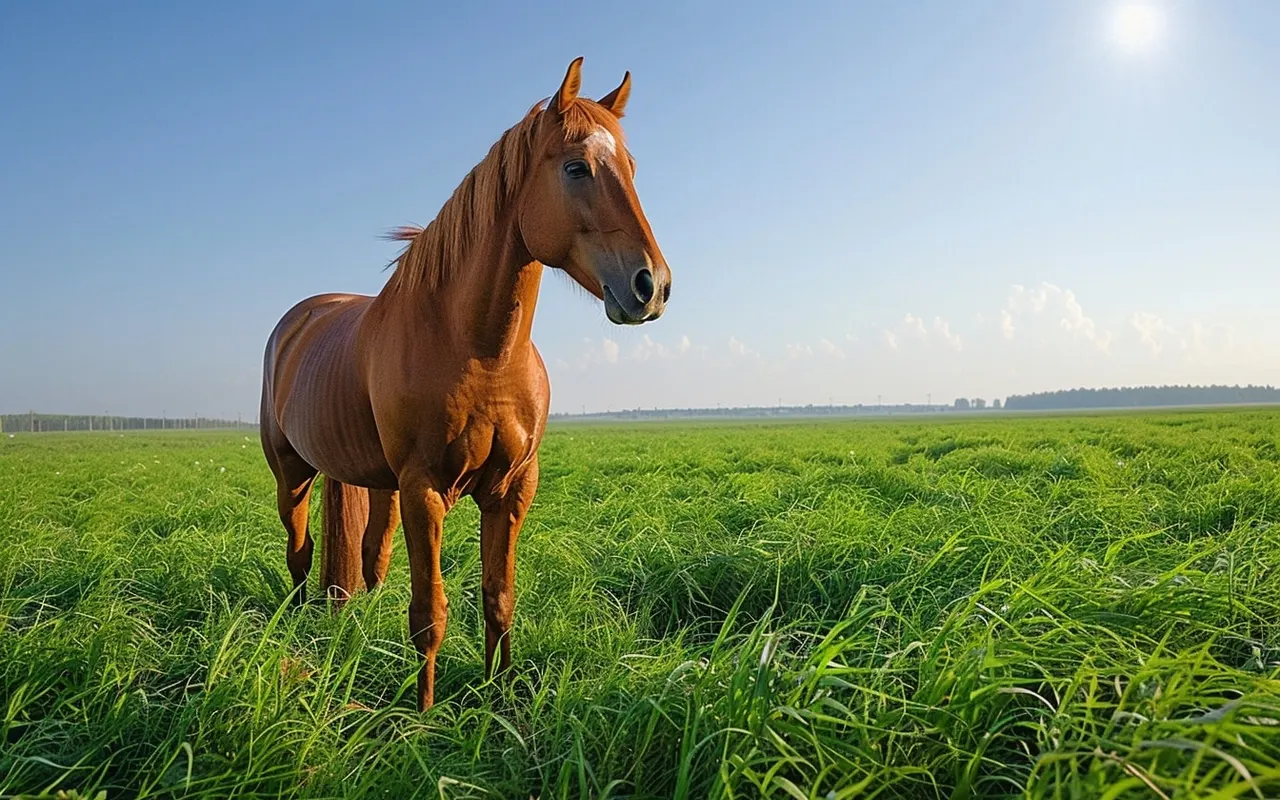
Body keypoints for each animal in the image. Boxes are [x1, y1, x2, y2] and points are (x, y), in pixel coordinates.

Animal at [258, 57, 671, 711]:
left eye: (631, 169)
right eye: (576, 167)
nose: (651, 286)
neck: (479, 353)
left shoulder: (511, 488)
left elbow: (498, 600)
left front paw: (498, 701)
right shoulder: (425, 490)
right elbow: (430, 612)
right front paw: (424, 715)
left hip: (375, 481)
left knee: (370, 556)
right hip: (293, 474)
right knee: (299, 555)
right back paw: (301, 632)